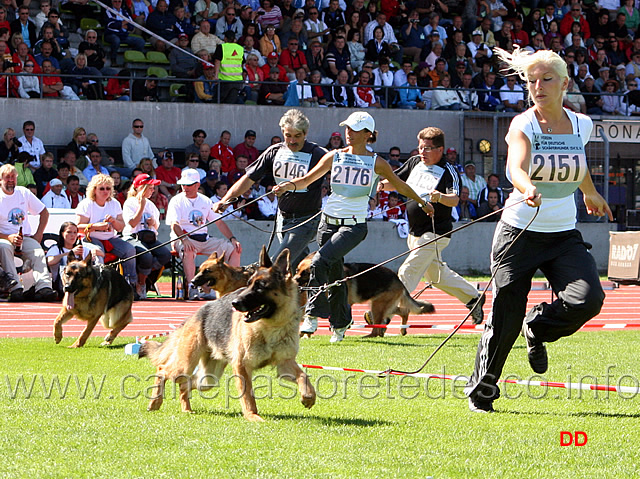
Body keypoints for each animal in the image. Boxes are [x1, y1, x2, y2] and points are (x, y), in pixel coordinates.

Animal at [139, 249, 316, 422]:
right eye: (248, 284)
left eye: (260, 287)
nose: (234, 303)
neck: (271, 326)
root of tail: (196, 314)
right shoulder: (241, 366)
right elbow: (248, 395)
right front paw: (252, 415)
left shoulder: (285, 363)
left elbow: (303, 376)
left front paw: (308, 396)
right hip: (186, 364)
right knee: (162, 369)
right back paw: (155, 402)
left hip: (209, 378)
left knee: (185, 384)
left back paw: (186, 409)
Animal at [296, 255, 436, 338]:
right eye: (297, 270)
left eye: (305, 273)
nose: (293, 280)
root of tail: (398, 279)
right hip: (383, 305)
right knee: (404, 311)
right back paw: (402, 330)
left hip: (378, 306)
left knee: (377, 329)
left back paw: (370, 335)